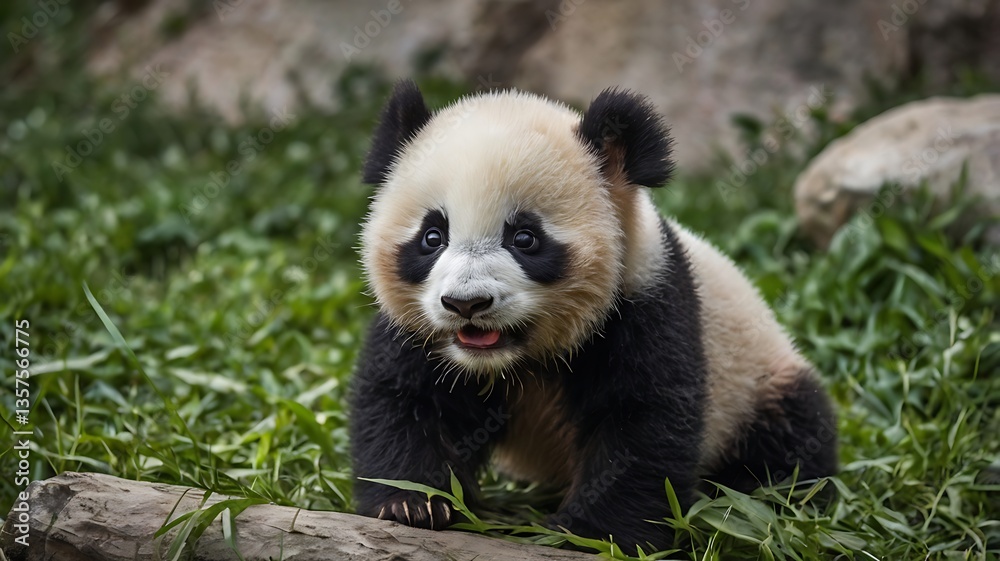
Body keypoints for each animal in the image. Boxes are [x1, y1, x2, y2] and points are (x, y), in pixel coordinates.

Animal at [349, 80, 837, 553]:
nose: (467, 304)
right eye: (432, 236)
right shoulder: (416, 330)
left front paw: (596, 533)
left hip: (758, 379)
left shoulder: (645, 302)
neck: (516, 359)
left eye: (525, 238)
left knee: (791, 441)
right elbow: (403, 398)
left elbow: (641, 422)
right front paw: (413, 502)